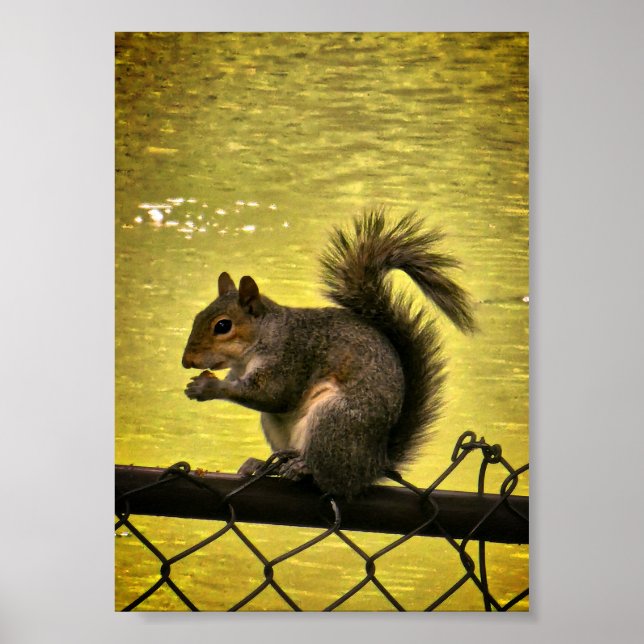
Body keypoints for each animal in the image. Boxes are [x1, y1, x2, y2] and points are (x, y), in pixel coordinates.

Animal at [182, 209, 476, 498]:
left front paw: (207, 387)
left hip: (334, 420)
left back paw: (303, 467)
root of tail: (373, 465)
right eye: (197, 316)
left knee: (332, 480)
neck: (258, 342)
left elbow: (272, 395)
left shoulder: (290, 357)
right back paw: (266, 463)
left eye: (223, 326)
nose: (187, 362)